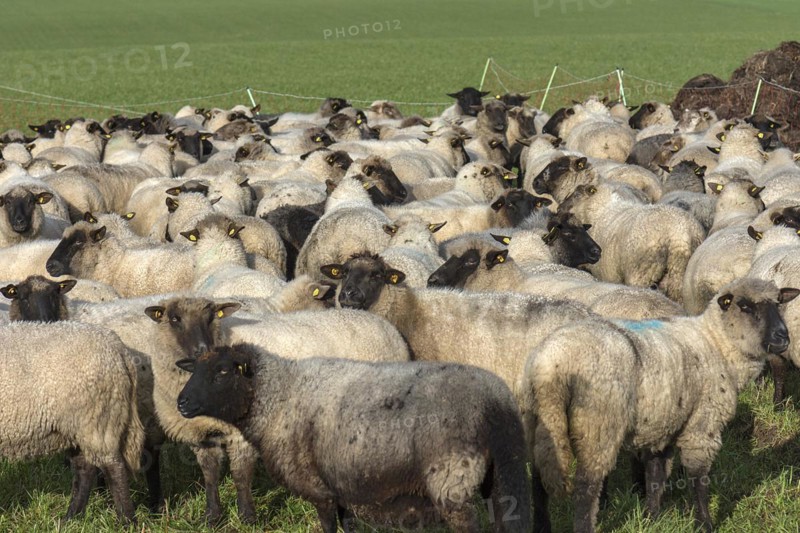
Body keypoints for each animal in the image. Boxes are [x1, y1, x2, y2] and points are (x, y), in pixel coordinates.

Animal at [0, 321, 144, 522]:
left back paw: (127, 521)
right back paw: (71, 518)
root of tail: (118, 348)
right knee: (85, 469)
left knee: (114, 468)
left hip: (98, 418)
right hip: (75, 427)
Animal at [177, 343, 531, 533]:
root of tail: (495, 402)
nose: (182, 403)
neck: (278, 396)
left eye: (223, 371)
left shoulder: (319, 489)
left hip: (452, 479)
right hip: (505, 473)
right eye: (194, 370)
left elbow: (328, 526)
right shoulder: (342, 487)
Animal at [518, 278, 797, 533]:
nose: (783, 337)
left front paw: (651, 518)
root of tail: (552, 363)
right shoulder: (702, 425)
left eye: (779, 303)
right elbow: (698, 477)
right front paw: (704, 523)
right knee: (586, 489)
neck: (717, 344)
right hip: (598, 427)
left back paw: (542, 527)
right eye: (744, 306)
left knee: (539, 482)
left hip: (542, 423)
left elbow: (656, 475)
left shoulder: (663, 423)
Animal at [560, 183, 705, 302]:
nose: (559, 209)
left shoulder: (608, 274)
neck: (600, 211)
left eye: (577, 195)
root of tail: (680, 233)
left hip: (642, 272)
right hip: (679, 275)